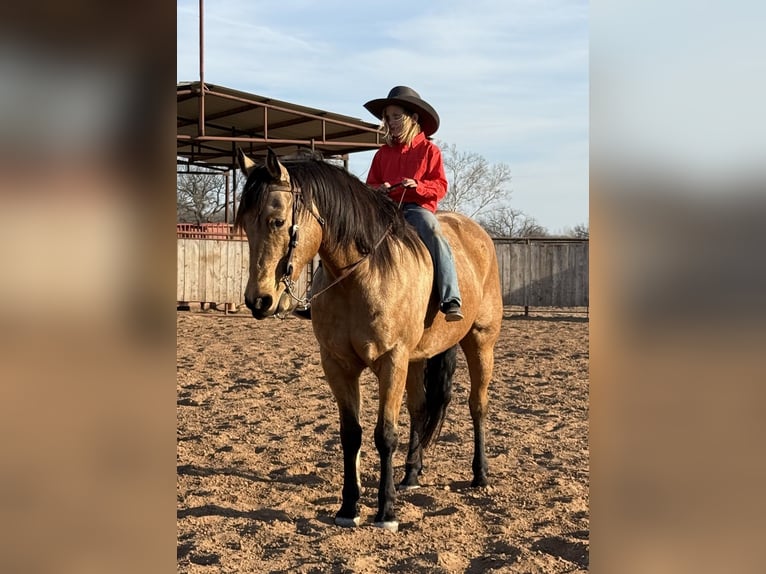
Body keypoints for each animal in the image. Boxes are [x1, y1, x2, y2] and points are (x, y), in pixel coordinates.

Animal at [235, 148, 503, 532]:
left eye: (276, 221)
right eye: (245, 224)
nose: (258, 301)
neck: (361, 274)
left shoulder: (391, 361)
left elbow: (384, 434)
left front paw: (386, 511)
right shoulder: (338, 365)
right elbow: (352, 434)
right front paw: (349, 507)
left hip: (481, 342)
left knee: (477, 405)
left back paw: (480, 475)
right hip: (418, 359)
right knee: (420, 410)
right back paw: (411, 475)